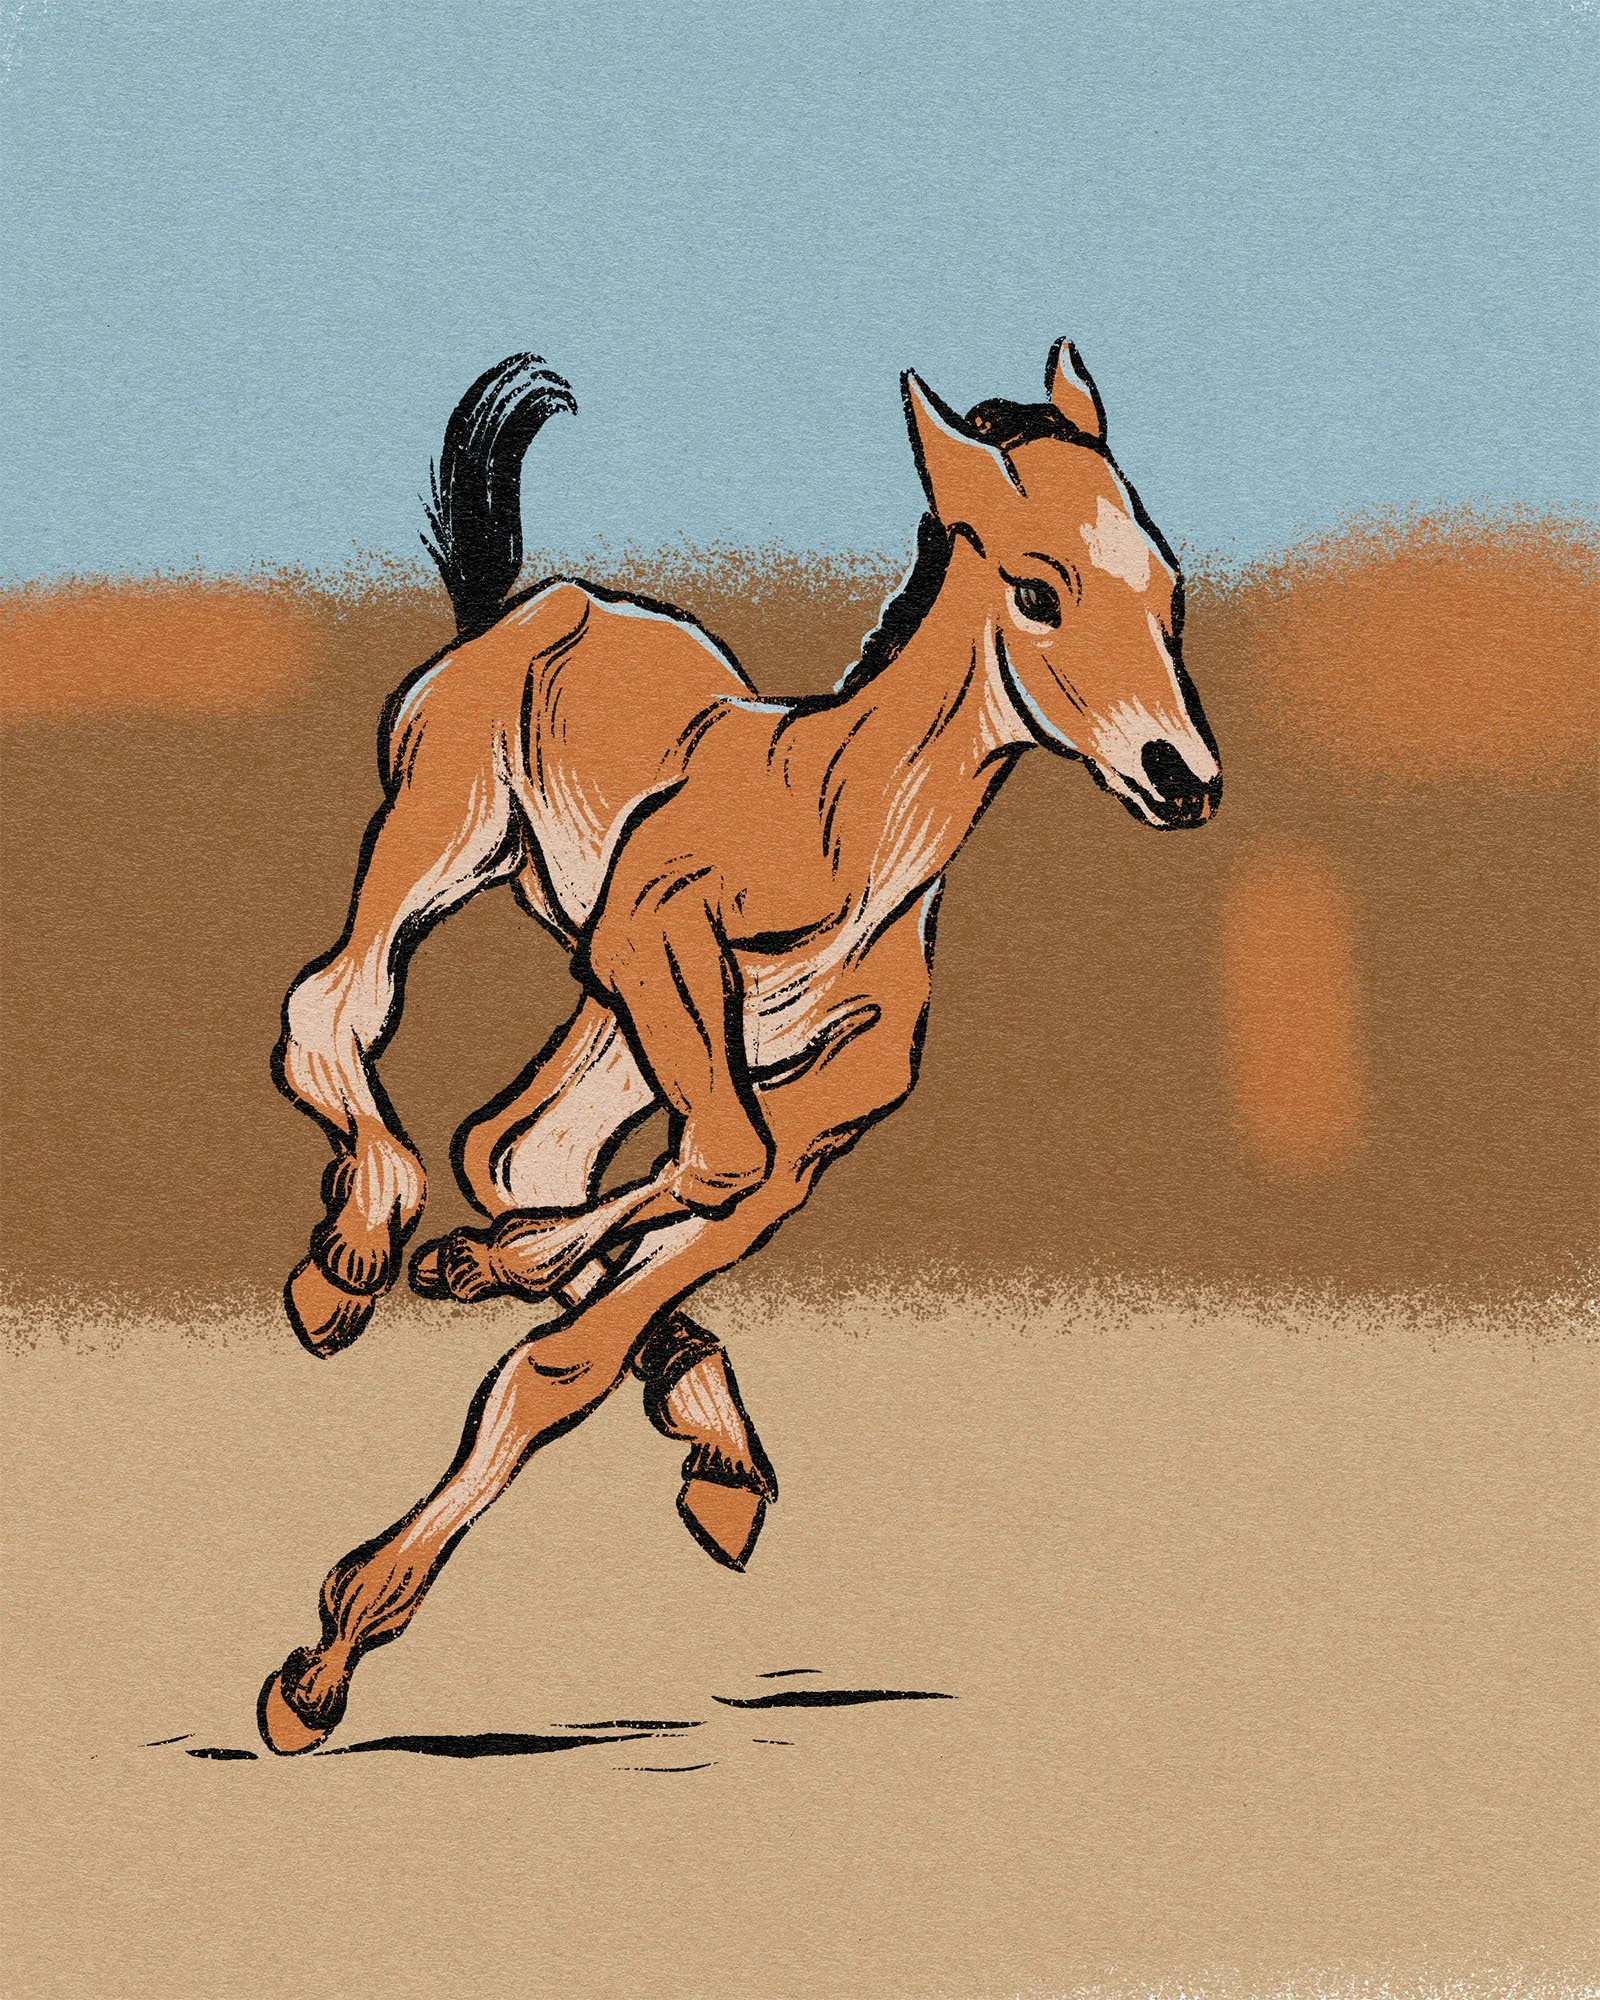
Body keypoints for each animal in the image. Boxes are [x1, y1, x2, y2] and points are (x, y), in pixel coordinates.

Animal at [257, 341, 1222, 1754]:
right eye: (1038, 591)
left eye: (1170, 589)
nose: (1183, 778)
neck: (844, 833)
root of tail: (537, 603)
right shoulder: (659, 939)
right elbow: (692, 1184)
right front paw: (318, 1663)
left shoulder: (818, 1115)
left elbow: (605, 1308)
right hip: (450, 845)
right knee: (333, 1011)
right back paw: (351, 1264)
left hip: (612, 1014)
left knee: (518, 1140)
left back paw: (679, 1416)